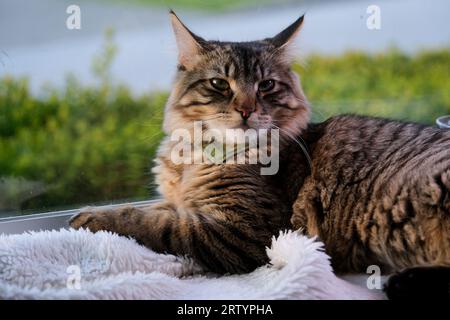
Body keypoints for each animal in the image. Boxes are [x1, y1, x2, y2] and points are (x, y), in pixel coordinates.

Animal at [70, 11, 450, 298]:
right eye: (219, 84)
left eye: (266, 85)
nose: (246, 109)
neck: (199, 157)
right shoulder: (185, 204)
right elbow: (153, 209)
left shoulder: (242, 230)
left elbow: (154, 223)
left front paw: (88, 218)